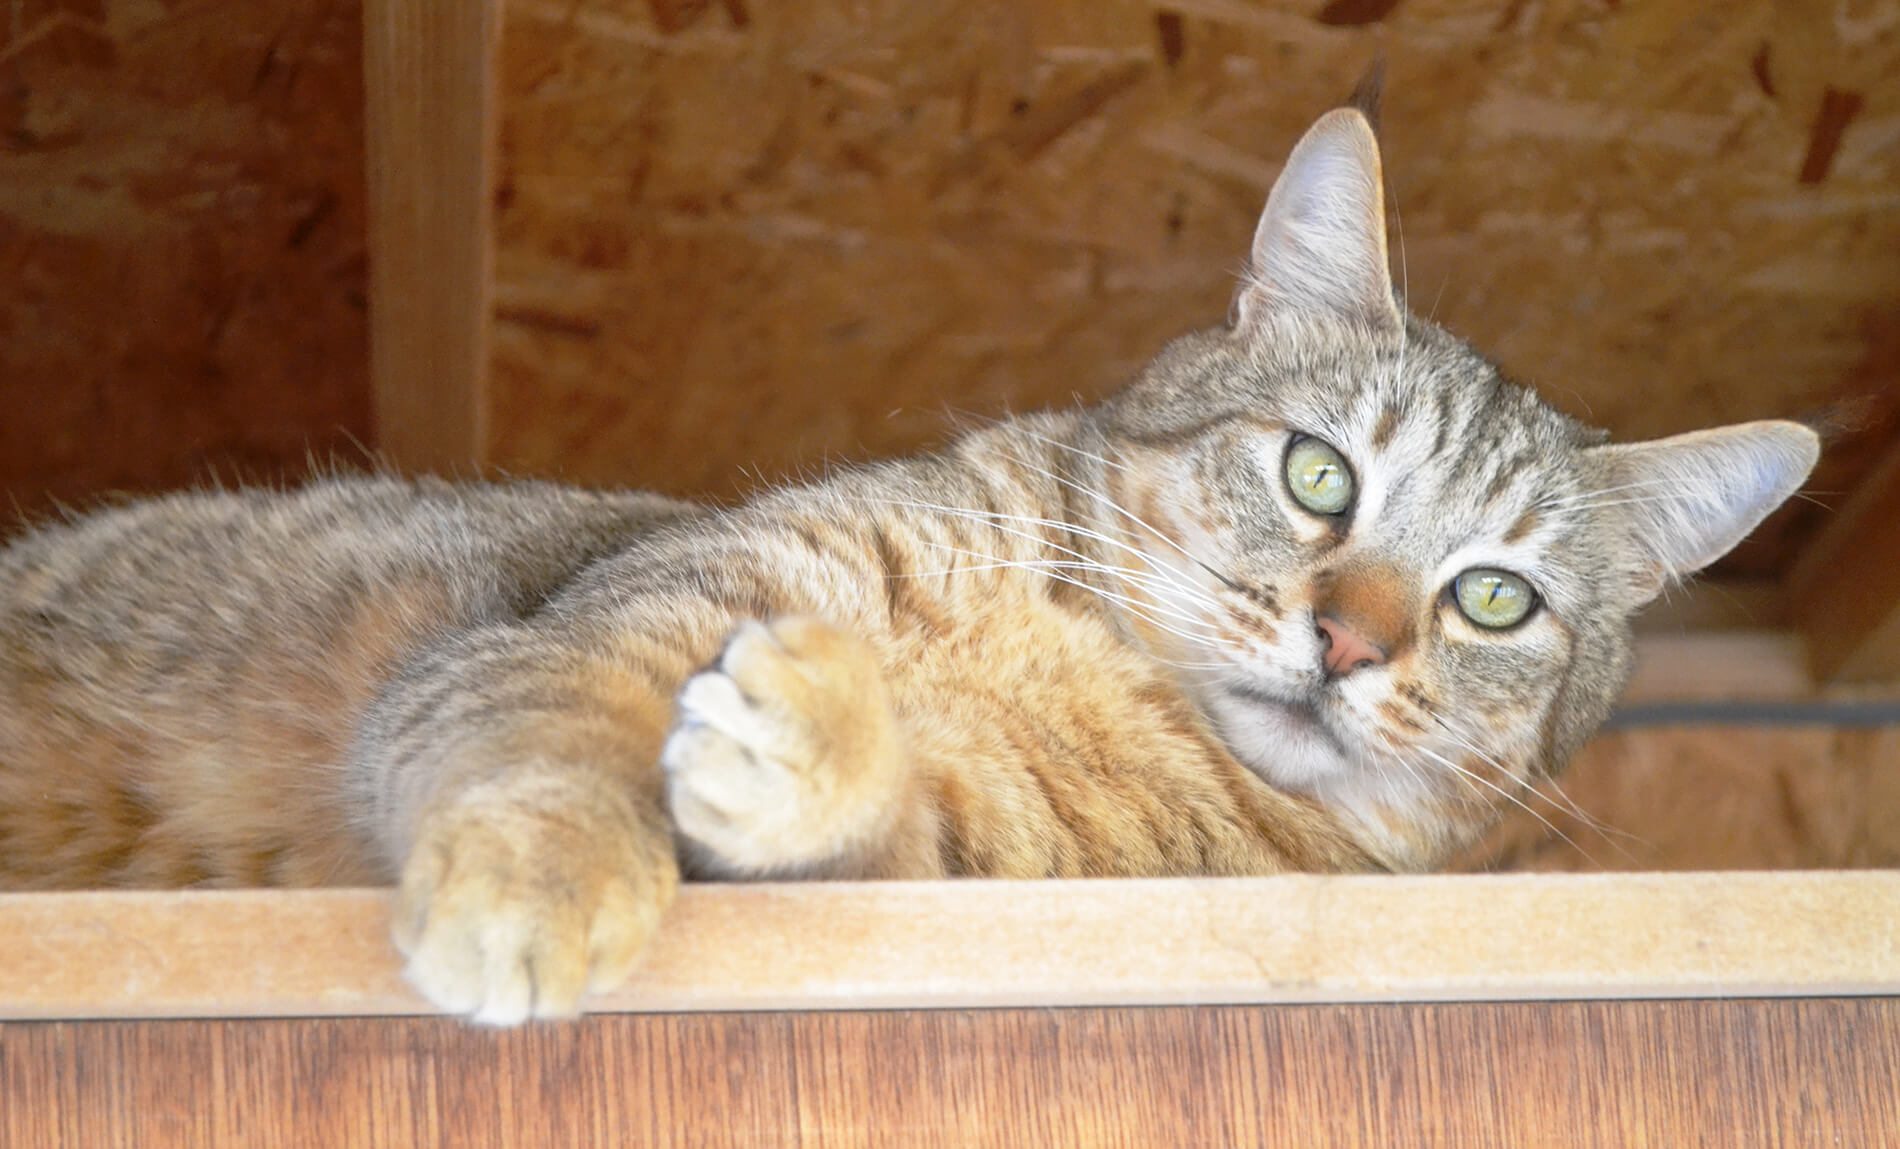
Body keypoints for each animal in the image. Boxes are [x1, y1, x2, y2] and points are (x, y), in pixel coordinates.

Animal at [0, 98, 1808, 1017]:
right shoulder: (634, 606)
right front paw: (541, 874)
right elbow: (554, 740)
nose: (1350, 643)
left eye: (1495, 596)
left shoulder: (981, 868)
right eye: (1318, 473)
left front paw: (819, 741)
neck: (1089, 677)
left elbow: (859, 827)